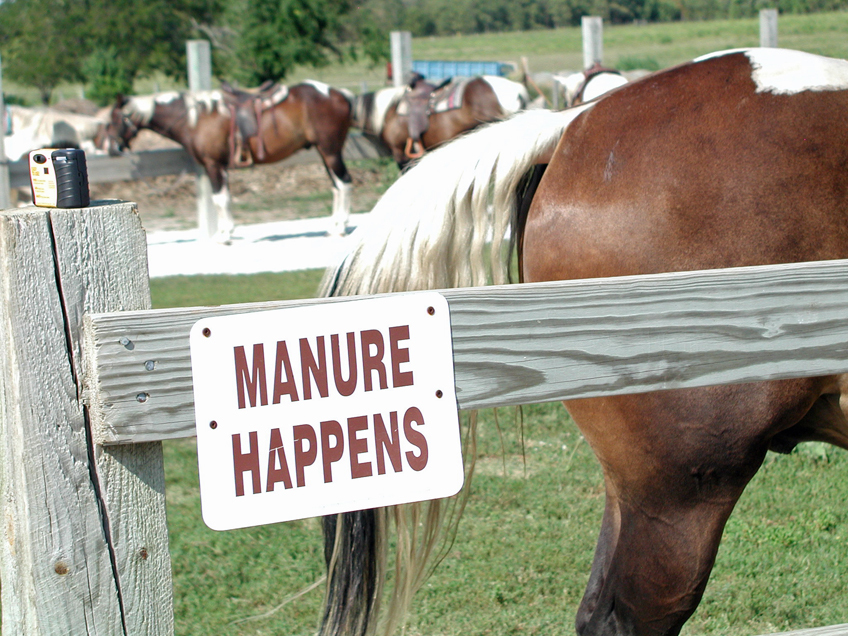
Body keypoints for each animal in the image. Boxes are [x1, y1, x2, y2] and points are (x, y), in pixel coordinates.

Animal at [104, 80, 354, 242]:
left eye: (114, 119)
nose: (112, 148)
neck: (196, 118)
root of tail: (340, 93)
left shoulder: (213, 164)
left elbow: (219, 199)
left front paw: (224, 235)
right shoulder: (220, 167)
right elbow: (225, 198)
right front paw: (228, 231)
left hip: (330, 151)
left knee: (344, 183)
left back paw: (341, 228)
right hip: (325, 153)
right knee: (336, 186)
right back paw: (333, 227)